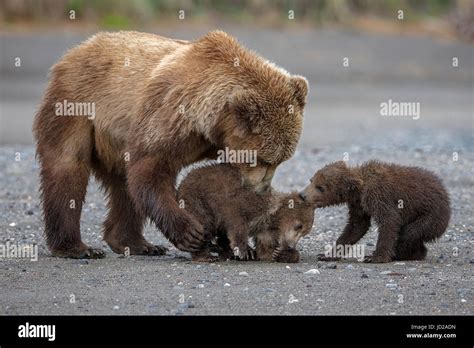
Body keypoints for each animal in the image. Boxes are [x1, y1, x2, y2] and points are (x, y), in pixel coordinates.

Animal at [32, 29, 308, 258]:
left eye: (281, 160)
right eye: (262, 159)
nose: (262, 188)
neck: (210, 126)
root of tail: (76, 50)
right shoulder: (170, 114)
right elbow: (150, 169)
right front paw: (191, 233)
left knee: (123, 186)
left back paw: (135, 243)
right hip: (77, 104)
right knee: (67, 167)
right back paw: (76, 247)